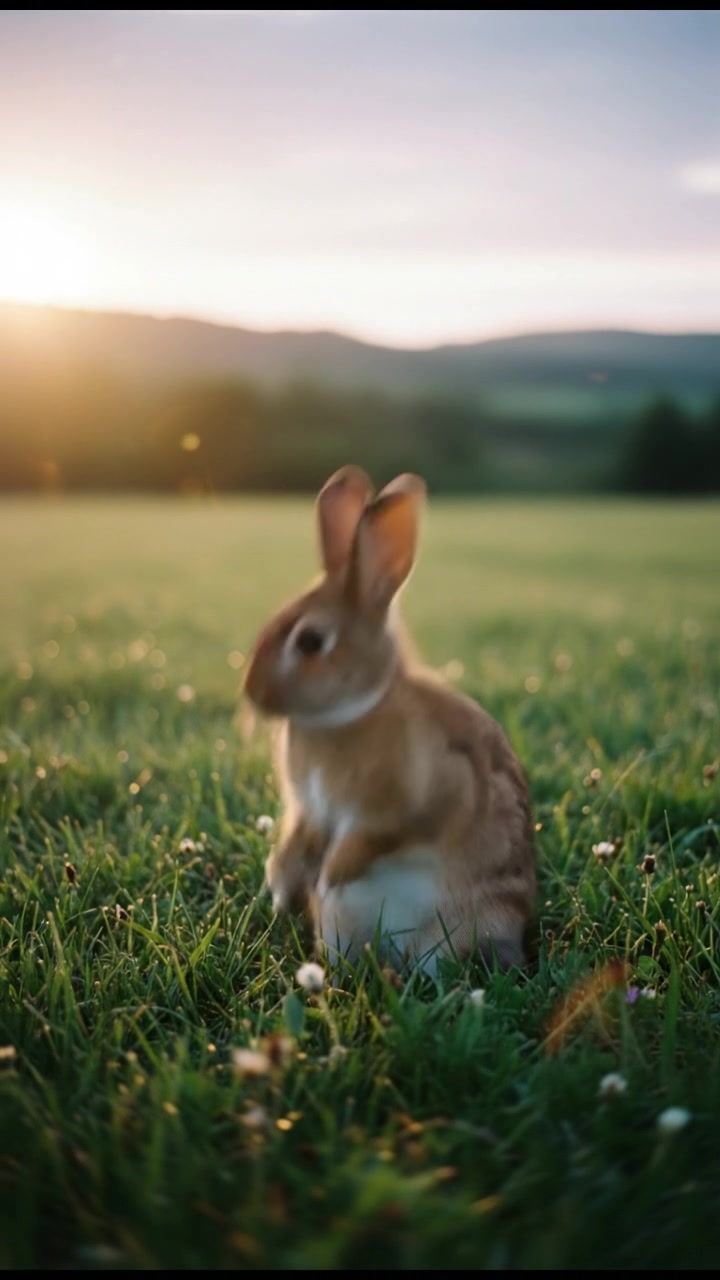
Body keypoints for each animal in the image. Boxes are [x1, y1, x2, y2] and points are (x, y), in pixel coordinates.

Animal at [243, 465, 536, 975]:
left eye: (311, 642)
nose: (252, 694)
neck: (355, 708)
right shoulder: (308, 810)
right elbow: (298, 837)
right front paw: (281, 885)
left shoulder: (413, 801)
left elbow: (370, 840)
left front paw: (329, 875)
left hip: (462, 925)